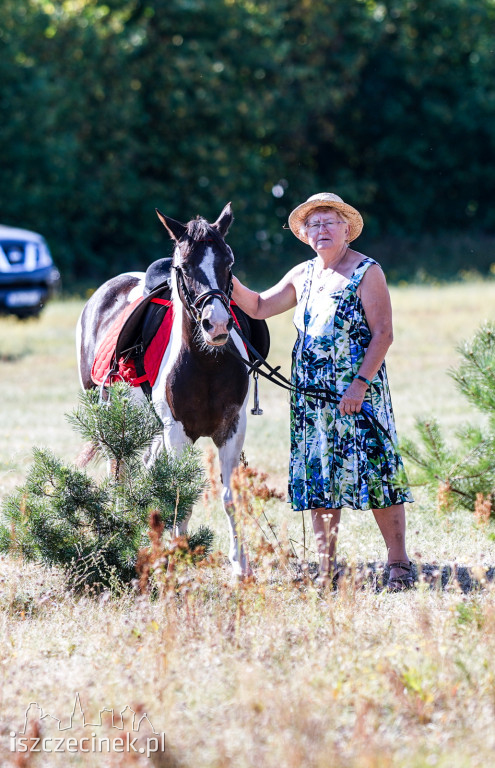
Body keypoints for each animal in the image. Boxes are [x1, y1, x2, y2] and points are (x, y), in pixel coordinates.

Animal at [78, 204, 268, 576]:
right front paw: (178, 558)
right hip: (113, 423)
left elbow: (229, 497)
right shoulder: (177, 432)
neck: (205, 364)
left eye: (229, 263)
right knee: (119, 474)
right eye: (183, 268)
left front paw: (240, 566)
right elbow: (179, 490)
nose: (217, 324)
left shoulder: (232, 428)